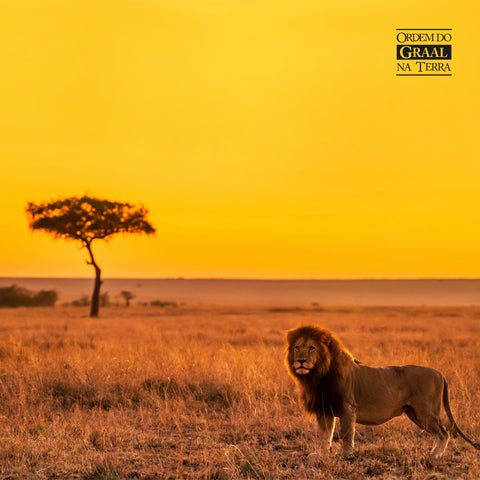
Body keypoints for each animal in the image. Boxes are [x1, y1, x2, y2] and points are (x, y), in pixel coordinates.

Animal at [284, 324, 480, 460]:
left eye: (312, 348)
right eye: (297, 347)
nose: (300, 361)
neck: (317, 375)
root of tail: (440, 373)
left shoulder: (347, 408)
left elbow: (346, 434)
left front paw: (346, 455)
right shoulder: (325, 409)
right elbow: (325, 435)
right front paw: (321, 456)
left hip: (425, 412)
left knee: (444, 432)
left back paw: (434, 456)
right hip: (414, 413)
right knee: (442, 432)